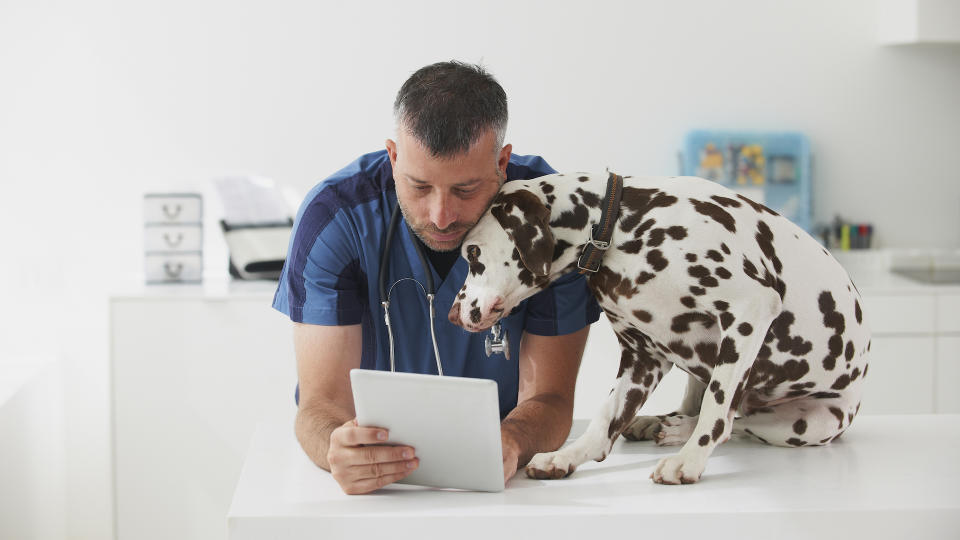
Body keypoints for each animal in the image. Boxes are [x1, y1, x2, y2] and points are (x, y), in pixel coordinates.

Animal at [450, 173, 872, 486]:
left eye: (472, 253)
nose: (453, 315)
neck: (622, 228)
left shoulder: (750, 309)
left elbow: (718, 411)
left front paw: (690, 460)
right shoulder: (642, 357)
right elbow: (604, 420)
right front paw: (566, 456)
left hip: (805, 422)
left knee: (739, 422)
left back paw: (679, 432)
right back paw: (658, 421)